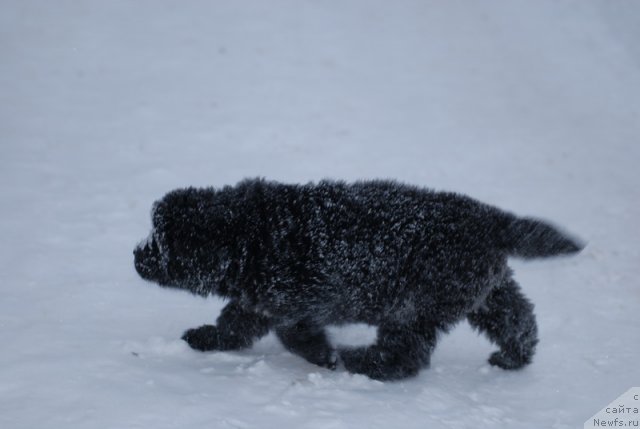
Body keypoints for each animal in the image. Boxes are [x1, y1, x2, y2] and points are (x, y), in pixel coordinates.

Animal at [132, 179, 584, 380]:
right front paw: (208, 338)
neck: (250, 235)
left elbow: (295, 336)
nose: (136, 257)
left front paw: (325, 357)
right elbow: (233, 325)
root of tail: (488, 220)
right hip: (484, 291)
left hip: (415, 305)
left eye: (162, 243)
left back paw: (359, 361)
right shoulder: (257, 301)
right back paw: (514, 357)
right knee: (518, 319)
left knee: (405, 356)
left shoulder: (297, 303)